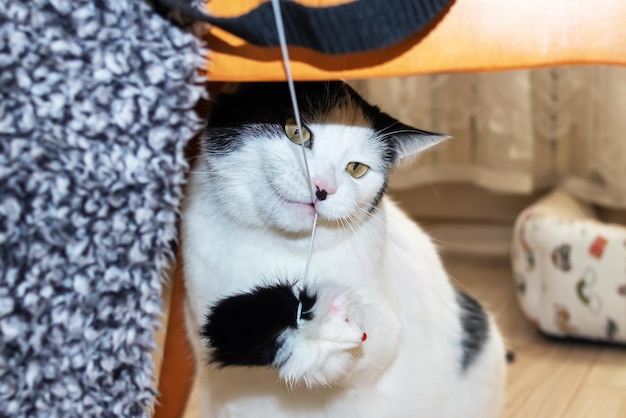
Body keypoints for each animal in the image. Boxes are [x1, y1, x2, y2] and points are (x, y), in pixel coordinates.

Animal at [179, 81, 502, 418]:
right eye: (296, 131)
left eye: (356, 168)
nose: (323, 188)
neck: (283, 246)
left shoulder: (385, 320)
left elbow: (377, 344)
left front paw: (326, 325)